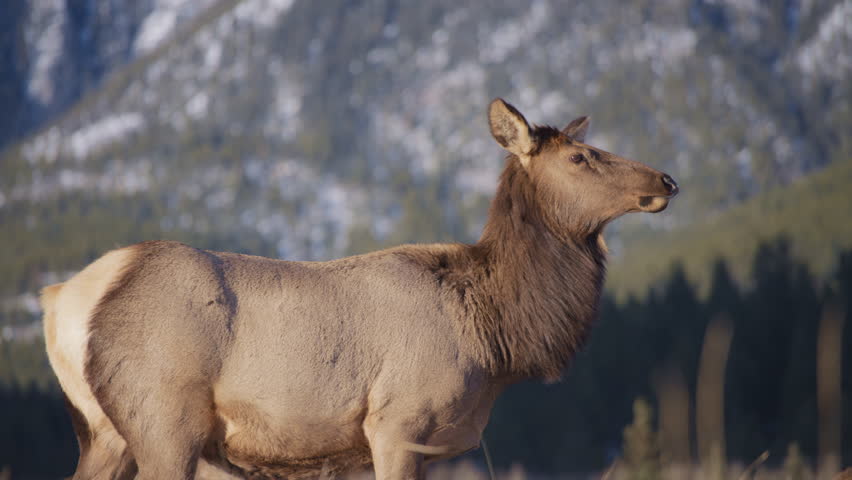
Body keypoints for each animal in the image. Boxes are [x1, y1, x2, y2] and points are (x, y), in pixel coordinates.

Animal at [41, 98, 679, 480]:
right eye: (582, 156)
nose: (666, 179)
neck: (497, 338)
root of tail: (63, 300)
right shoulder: (398, 421)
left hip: (103, 430)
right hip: (163, 419)